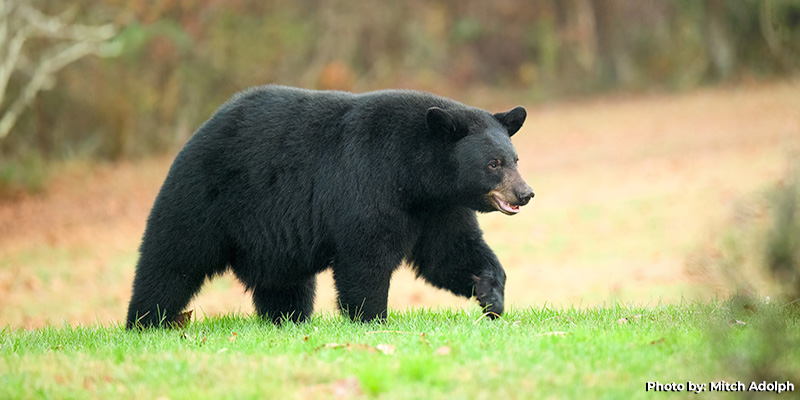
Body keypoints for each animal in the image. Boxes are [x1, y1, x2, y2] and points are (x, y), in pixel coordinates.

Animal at [123, 84, 532, 328]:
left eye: (515, 158)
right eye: (493, 164)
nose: (525, 193)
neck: (414, 176)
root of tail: (200, 131)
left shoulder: (438, 208)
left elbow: (449, 253)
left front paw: (491, 295)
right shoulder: (368, 183)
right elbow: (366, 257)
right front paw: (372, 318)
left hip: (271, 241)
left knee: (284, 284)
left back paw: (287, 320)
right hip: (205, 200)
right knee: (171, 260)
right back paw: (144, 321)